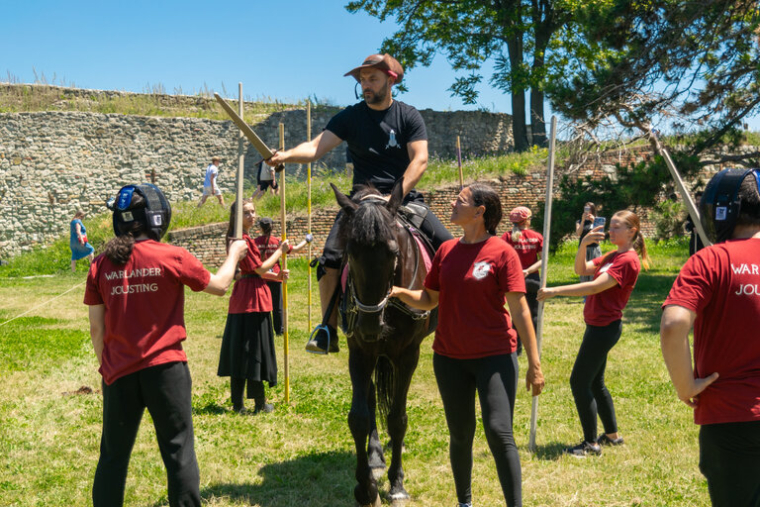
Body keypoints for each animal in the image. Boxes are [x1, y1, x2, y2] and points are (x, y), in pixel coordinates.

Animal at [332, 180, 436, 507]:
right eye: (350, 252)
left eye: (392, 252)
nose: (369, 326)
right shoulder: (359, 352)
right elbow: (359, 417)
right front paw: (365, 486)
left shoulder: (408, 355)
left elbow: (398, 418)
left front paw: (397, 483)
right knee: (371, 395)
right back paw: (376, 454)